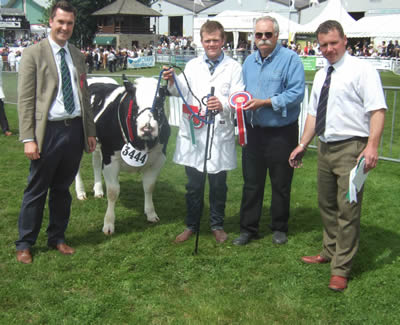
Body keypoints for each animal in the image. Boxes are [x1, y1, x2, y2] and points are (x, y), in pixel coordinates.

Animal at [75, 76, 170, 233]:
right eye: (135, 104)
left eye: (160, 103)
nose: (147, 128)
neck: (141, 144)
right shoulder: (110, 159)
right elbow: (113, 192)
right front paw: (108, 223)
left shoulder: (159, 159)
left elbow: (149, 187)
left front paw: (151, 213)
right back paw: (81, 192)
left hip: (95, 145)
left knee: (96, 163)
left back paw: (98, 190)